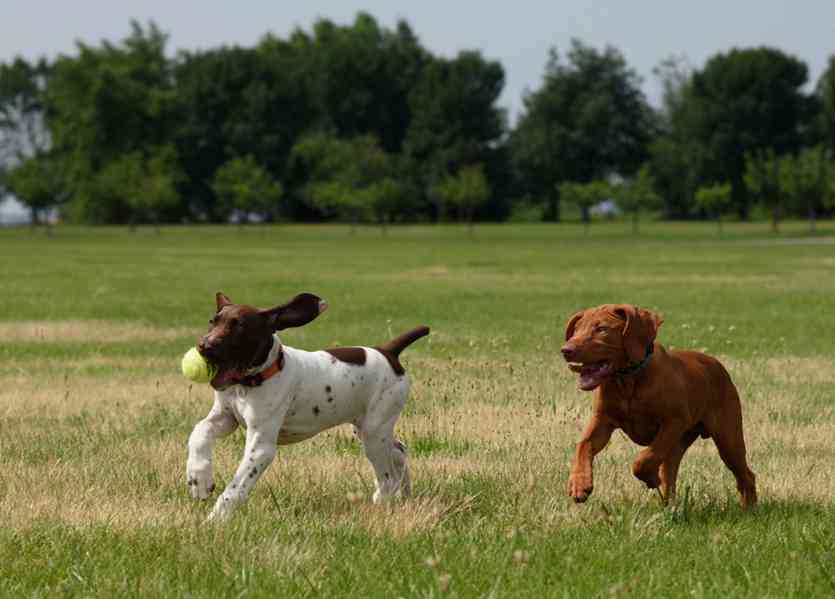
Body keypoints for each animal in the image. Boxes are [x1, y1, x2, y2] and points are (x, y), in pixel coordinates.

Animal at [185, 292, 428, 520]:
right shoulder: (225, 418)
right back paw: (405, 495)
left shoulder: (260, 447)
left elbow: (236, 488)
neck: (250, 382)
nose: (204, 346)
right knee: (399, 451)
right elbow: (199, 431)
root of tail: (387, 352)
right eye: (213, 321)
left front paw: (216, 519)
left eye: (240, 327)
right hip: (369, 428)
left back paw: (380, 503)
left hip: (374, 433)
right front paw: (198, 477)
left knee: (387, 478)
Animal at [560, 308, 756, 508]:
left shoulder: (674, 422)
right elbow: (583, 446)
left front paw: (650, 478)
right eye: (576, 330)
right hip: (679, 444)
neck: (628, 378)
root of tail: (717, 364)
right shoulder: (602, 422)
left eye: (602, 329)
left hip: (727, 439)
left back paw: (749, 508)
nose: (566, 350)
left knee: (746, 475)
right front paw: (579, 484)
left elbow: (643, 460)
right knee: (670, 472)